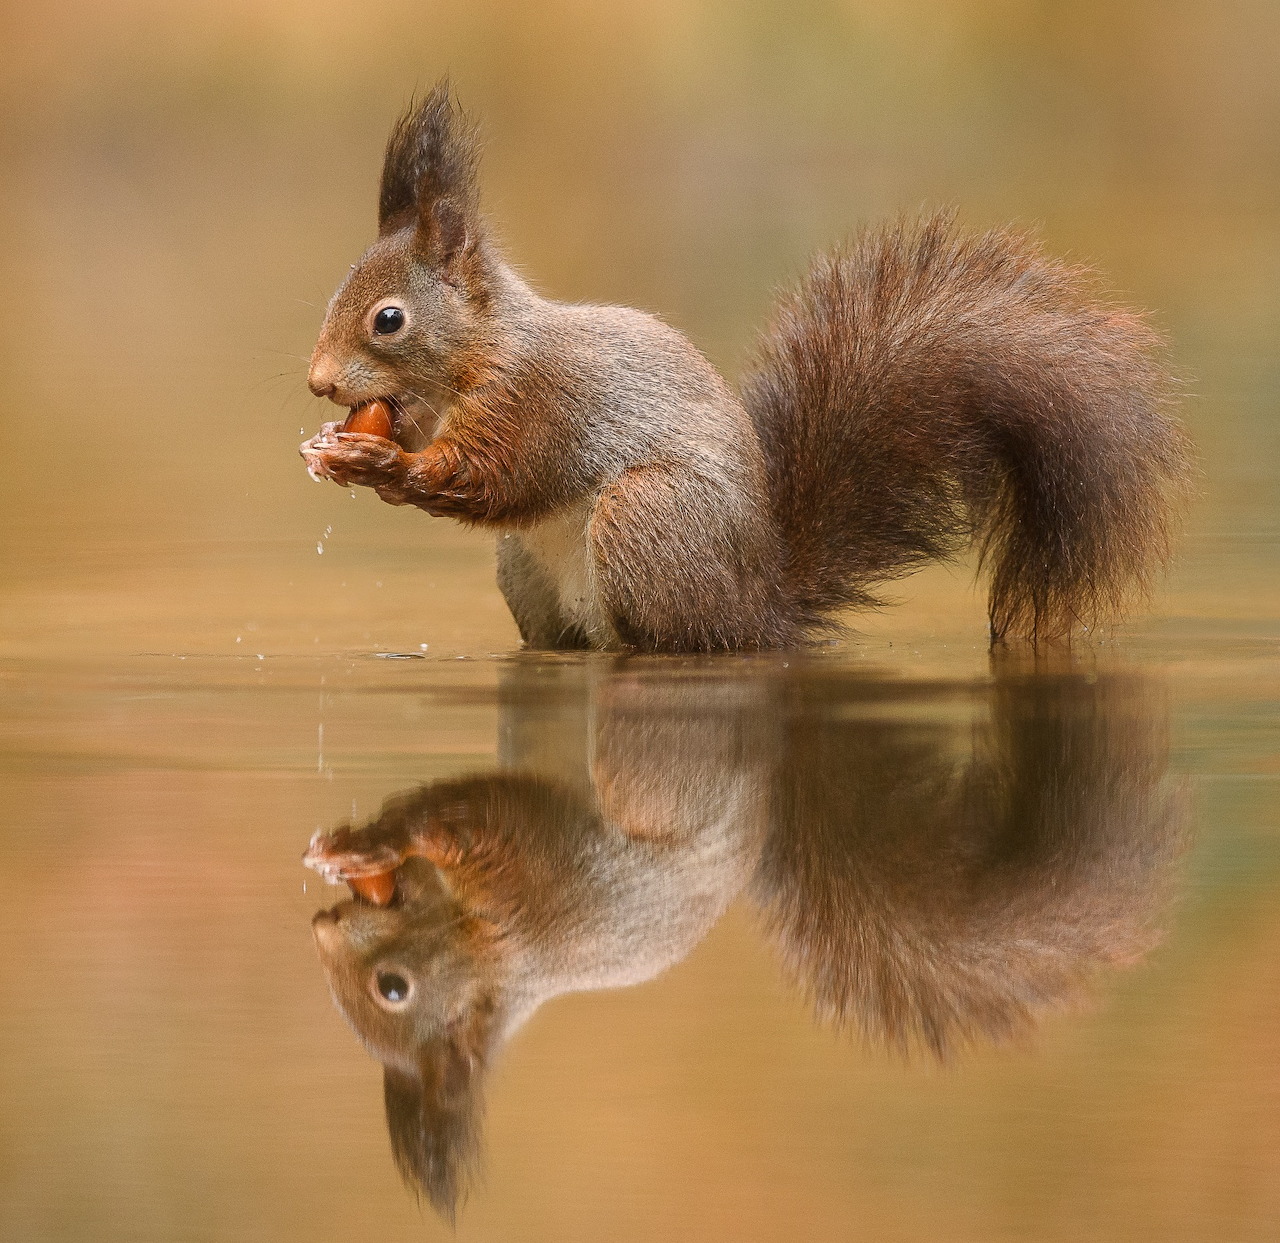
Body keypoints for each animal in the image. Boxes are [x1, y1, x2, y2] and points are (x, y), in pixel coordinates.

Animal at [300, 81, 1192, 652]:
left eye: (388, 319)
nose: (320, 383)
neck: (484, 352)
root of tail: (763, 605)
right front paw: (337, 449)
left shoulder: (542, 401)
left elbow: (495, 476)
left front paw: (382, 461)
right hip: (530, 574)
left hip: (648, 520)